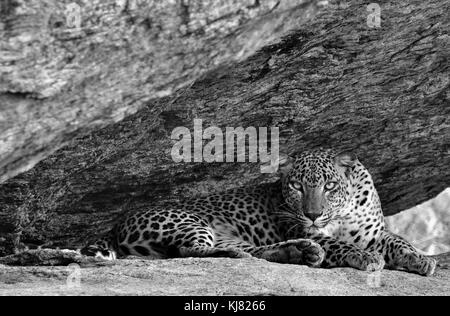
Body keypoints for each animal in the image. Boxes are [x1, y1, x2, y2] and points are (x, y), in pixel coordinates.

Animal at [81, 149, 436, 276]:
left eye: (330, 186)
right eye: (296, 186)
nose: (312, 215)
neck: (343, 212)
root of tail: (116, 224)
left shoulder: (374, 233)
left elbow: (399, 241)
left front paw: (421, 259)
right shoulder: (305, 229)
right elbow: (338, 244)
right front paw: (364, 258)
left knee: (254, 251)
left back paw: (301, 253)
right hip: (191, 221)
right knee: (191, 250)